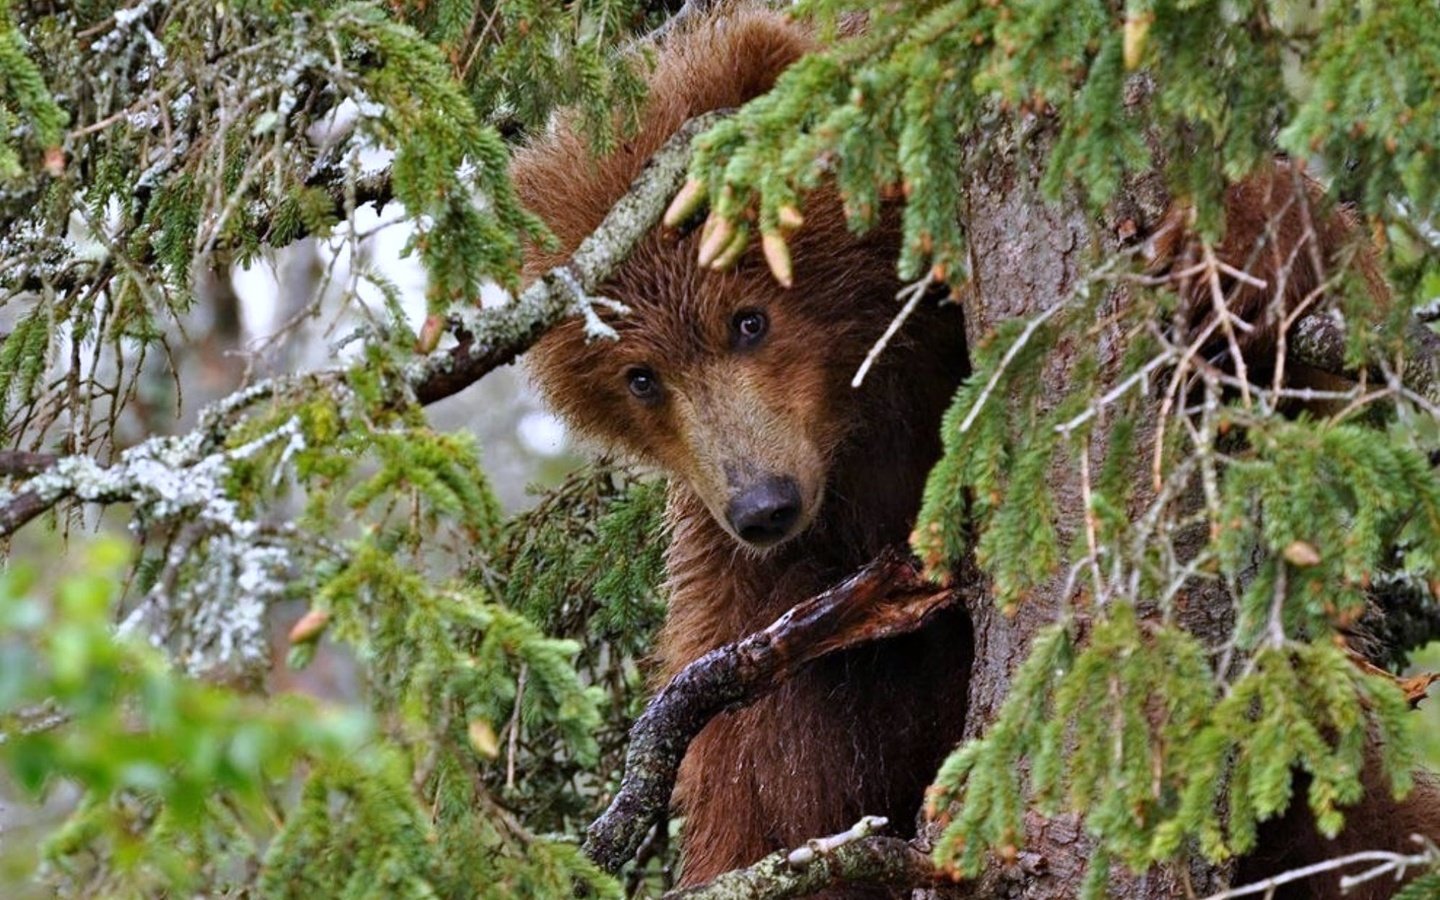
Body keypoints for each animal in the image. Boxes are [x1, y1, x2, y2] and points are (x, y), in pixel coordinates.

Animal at [515, 3, 1440, 892]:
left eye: (748, 318)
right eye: (639, 377)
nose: (763, 504)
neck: (872, 410)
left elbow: (1315, 350)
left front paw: (1219, 248)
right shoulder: (758, 599)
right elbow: (777, 764)